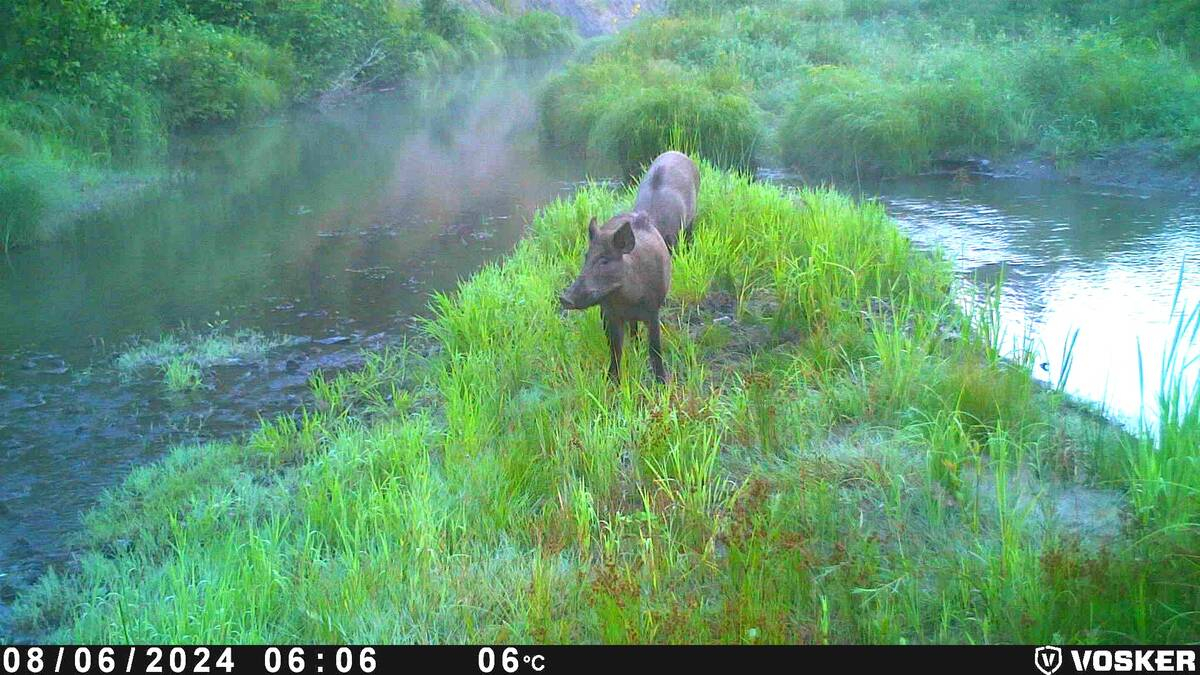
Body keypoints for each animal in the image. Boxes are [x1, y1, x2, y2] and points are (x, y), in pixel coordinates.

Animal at [559, 212, 671, 383]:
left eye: (604, 260)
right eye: (586, 257)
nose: (564, 298)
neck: (628, 300)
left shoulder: (653, 312)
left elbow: (655, 348)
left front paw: (662, 383)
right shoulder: (612, 315)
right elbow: (615, 349)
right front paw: (612, 382)